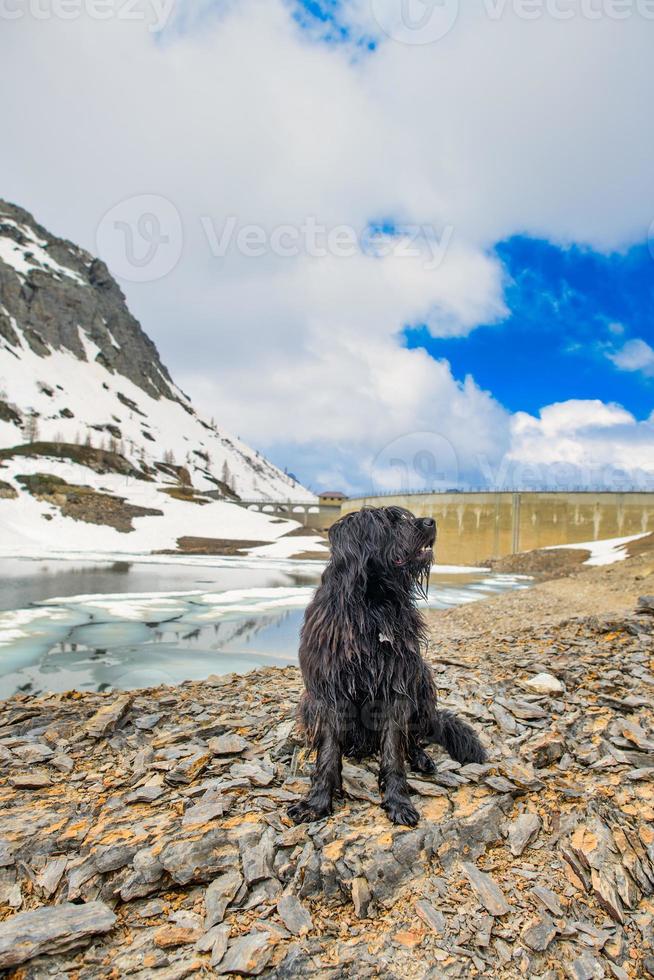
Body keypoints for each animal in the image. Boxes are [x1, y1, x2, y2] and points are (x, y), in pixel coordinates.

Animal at [290, 506, 486, 828]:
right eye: (388, 523)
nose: (431, 522)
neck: (373, 605)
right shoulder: (330, 691)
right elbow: (328, 751)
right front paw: (317, 802)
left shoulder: (396, 686)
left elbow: (394, 750)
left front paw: (398, 801)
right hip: (309, 704)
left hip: (422, 682)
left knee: (413, 738)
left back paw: (421, 758)